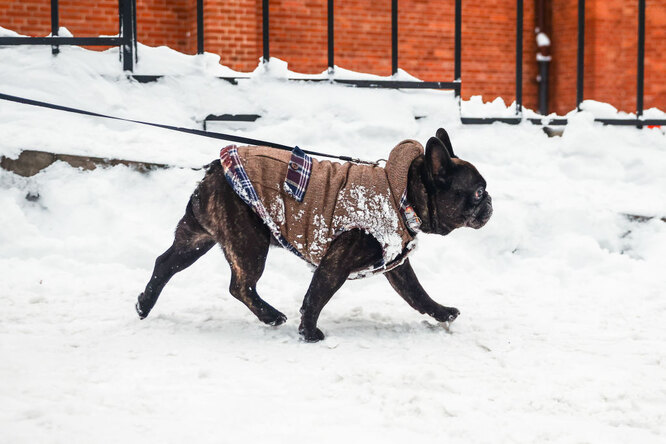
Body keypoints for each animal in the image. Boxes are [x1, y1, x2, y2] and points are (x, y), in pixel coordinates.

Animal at [136, 126, 488, 342]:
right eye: (478, 192)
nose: (490, 202)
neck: (403, 193)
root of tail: (214, 170)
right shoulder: (336, 263)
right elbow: (316, 296)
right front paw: (309, 333)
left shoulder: (397, 267)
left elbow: (417, 293)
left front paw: (441, 313)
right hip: (249, 242)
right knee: (241, 286)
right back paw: (271, 316)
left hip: (197, 238)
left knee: (165, 263)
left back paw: (144, 304)